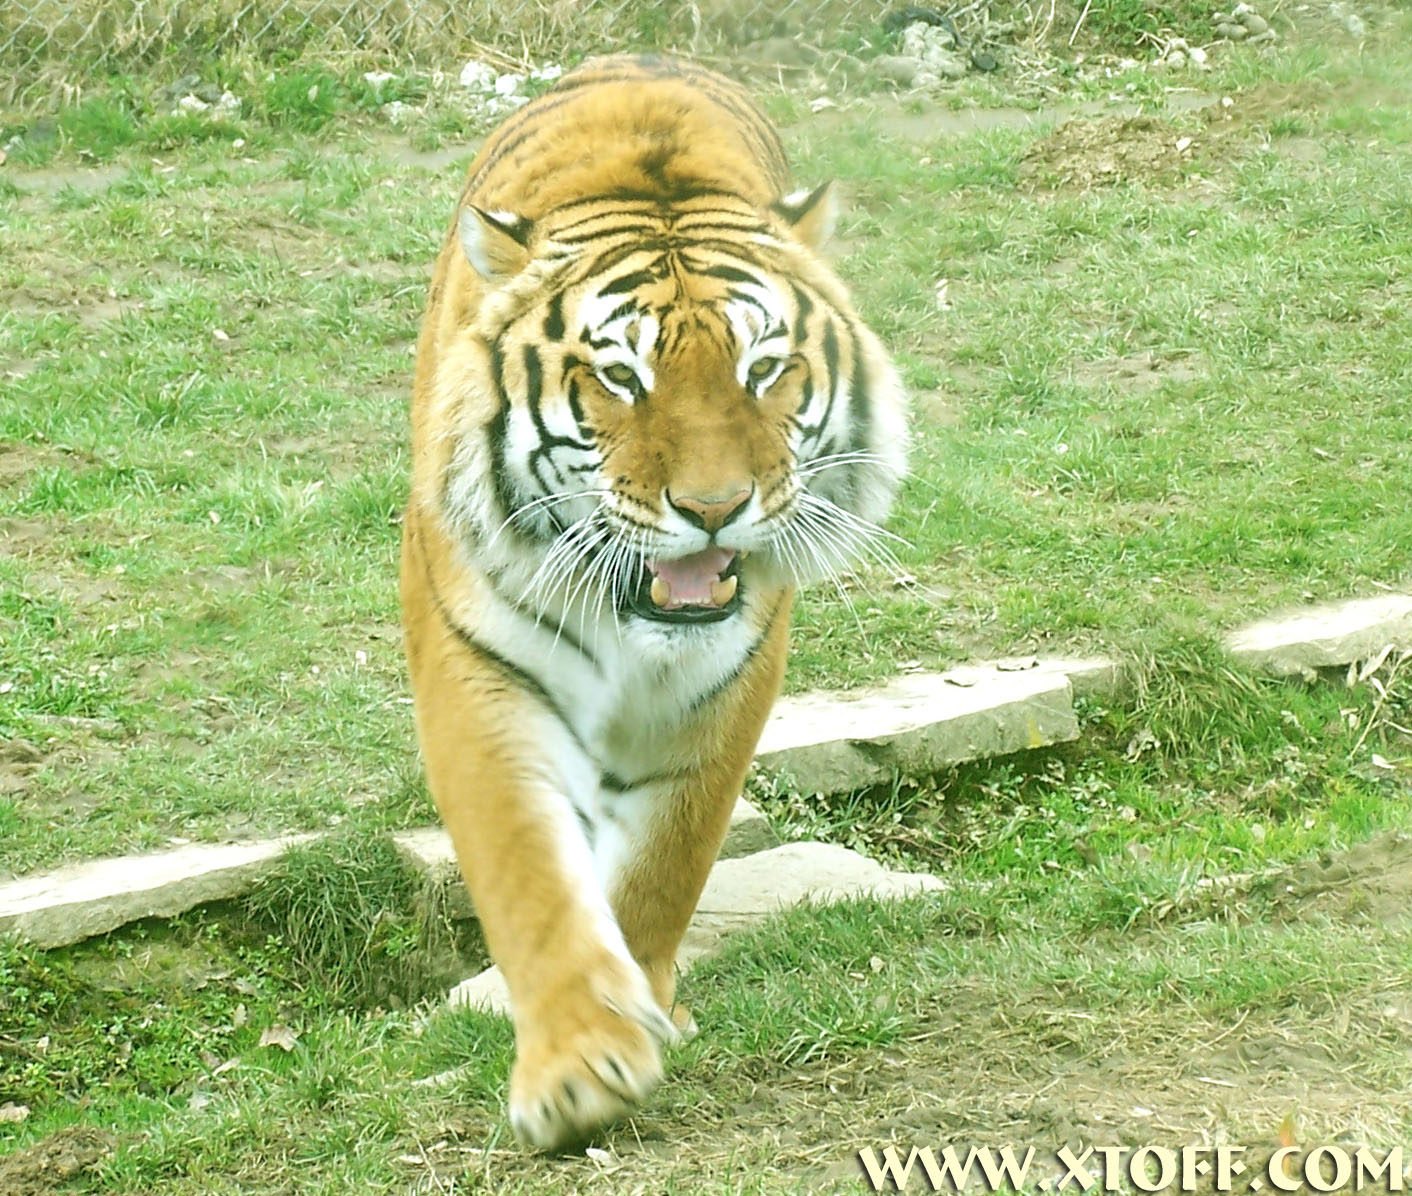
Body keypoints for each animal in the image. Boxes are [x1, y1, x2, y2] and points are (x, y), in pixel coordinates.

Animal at [401, 51, 903, 1146]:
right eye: (620, 377)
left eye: (763, 368)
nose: (714, 509)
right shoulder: (477, 665)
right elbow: (527, 867)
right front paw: (577, 1067)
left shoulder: (725, 682)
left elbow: (662, 865)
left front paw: (640, 1010)